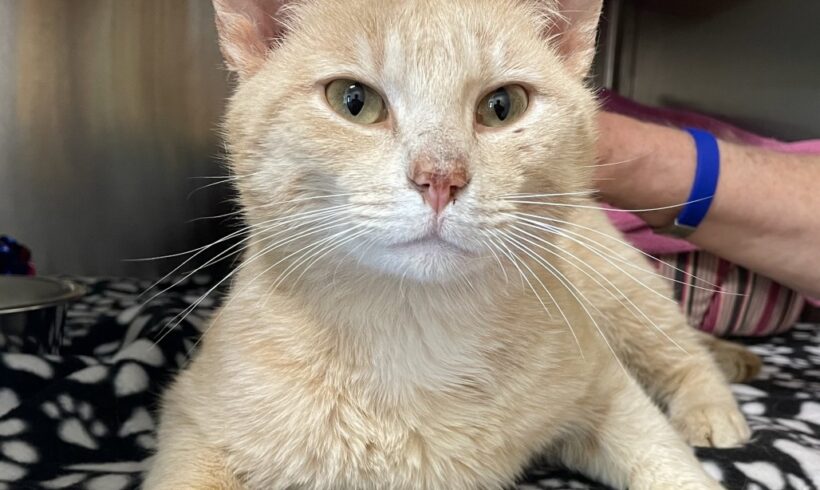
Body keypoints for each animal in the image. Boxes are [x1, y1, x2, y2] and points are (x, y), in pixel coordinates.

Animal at [143, 0, 760, 488]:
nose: (440, 178)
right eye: (353, 101)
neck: (416, 331)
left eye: (503, 106)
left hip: (622, 291)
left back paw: (711, 406)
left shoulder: (606, 388)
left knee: (684, 351)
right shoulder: (194, 420)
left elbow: (666, 458)